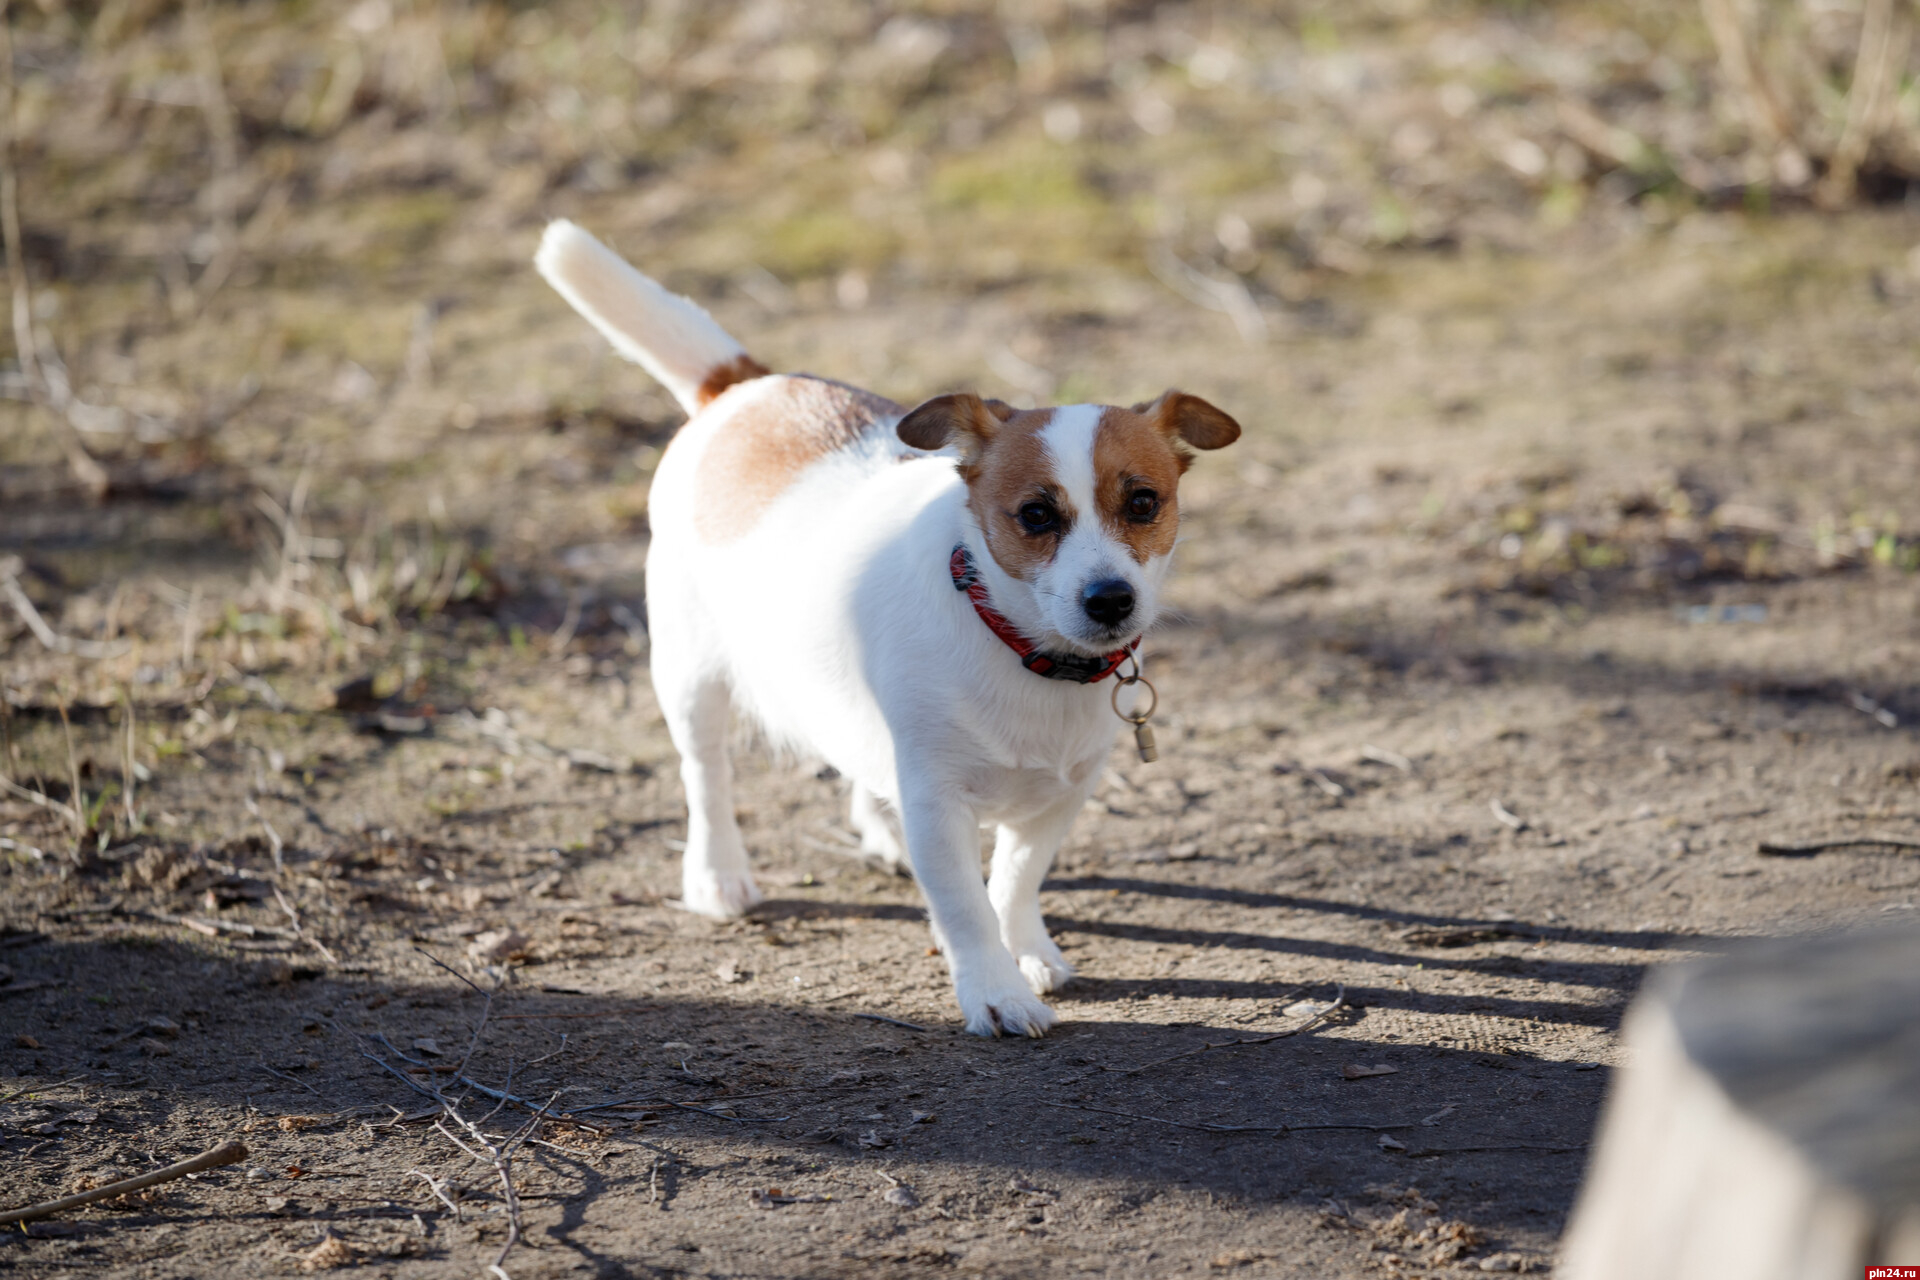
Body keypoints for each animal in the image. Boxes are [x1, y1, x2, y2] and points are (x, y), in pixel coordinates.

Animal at [533, 222, 1236, 1043]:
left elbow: (1014, 881)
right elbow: (967, 907)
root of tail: (744, 387)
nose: (1111, 601)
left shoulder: (1060, 797)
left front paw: (1024, 947)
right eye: (1035, 515)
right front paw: (994, 990)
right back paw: (717, 874)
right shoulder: (938, 800)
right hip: (689, 672)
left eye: (1145, 502)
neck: (1018, 647)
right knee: (705, 774)